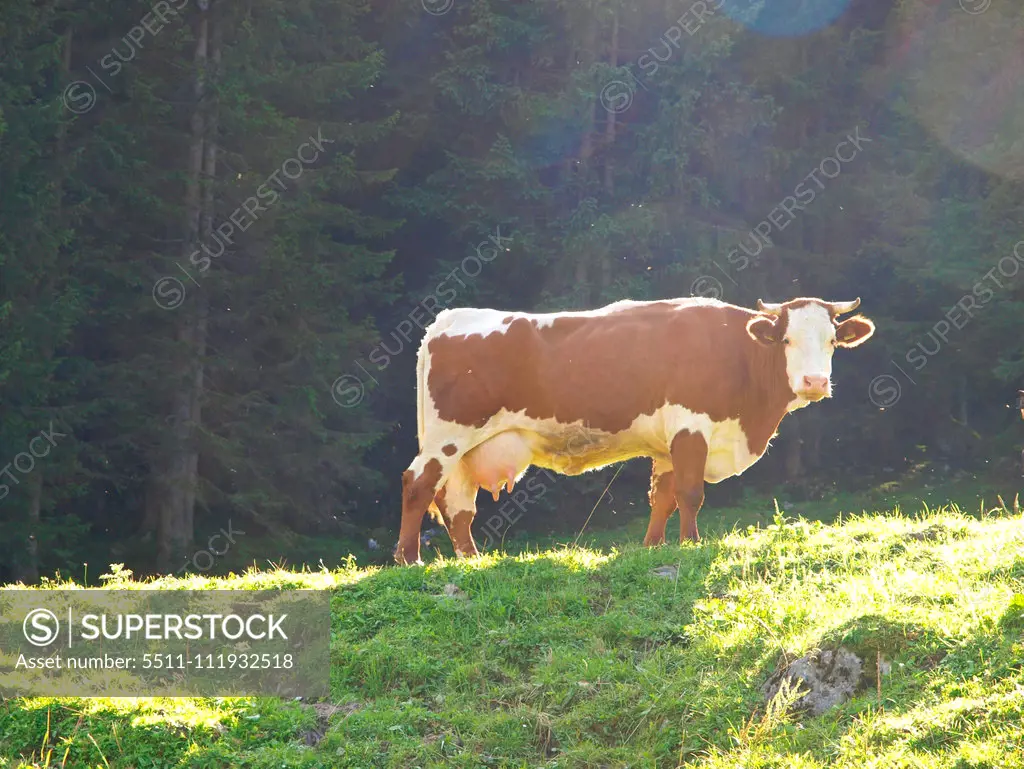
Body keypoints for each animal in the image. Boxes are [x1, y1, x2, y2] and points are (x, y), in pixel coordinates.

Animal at [395, 294, 876, 565]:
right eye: (787, 340)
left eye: (832, 341)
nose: (814, 382)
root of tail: (450, 319)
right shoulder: (691, 426)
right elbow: (690, 493)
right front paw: (690, 543)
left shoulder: (667, 445)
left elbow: (661, 497)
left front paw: (653, 546)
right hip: (448, 435)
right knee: (418, 482)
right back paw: (409, 559)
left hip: (467, 448)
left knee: (457, 504)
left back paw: (470, 560)